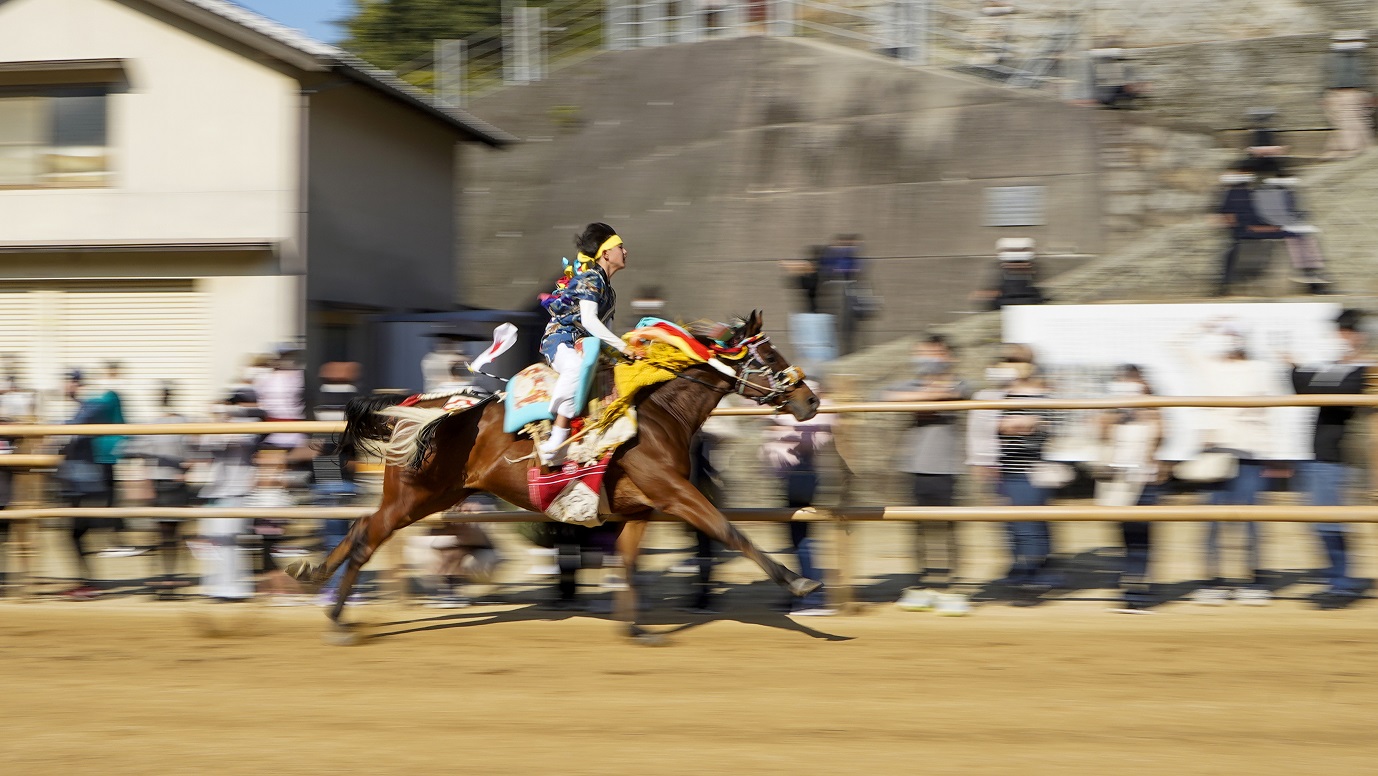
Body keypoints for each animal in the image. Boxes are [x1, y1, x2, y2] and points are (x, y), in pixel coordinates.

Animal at [283, 311, 810, 645]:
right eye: (770, 358)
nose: (809, 400)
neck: (659, 413)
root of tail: (418, 405)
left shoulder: (642, 507)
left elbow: (628, 560)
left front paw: (635, 628)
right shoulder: (674, 492)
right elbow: (729, 530)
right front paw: (794, 580)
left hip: (434, 496)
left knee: (359, 527)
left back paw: (312, 575)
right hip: (415, 497)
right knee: (367, 535)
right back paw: (336, 619)